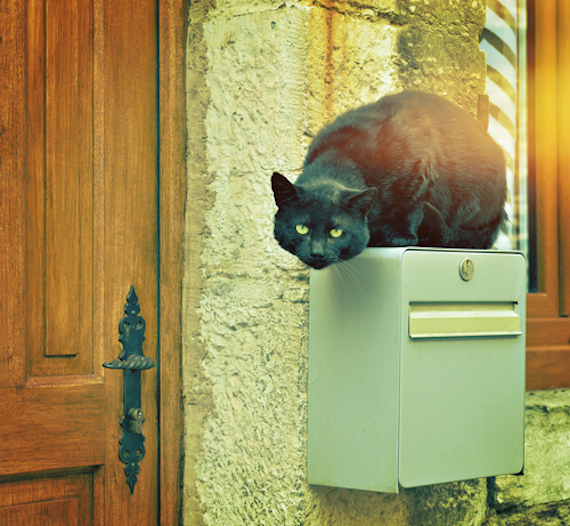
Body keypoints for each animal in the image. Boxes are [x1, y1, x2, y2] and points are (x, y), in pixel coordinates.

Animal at [270, 90, 506, 270]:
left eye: (336, 231)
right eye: (301, 229)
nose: (317, 253)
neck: (343, 157)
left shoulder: (420, 165)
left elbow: (412, 206)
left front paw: (401, 237)